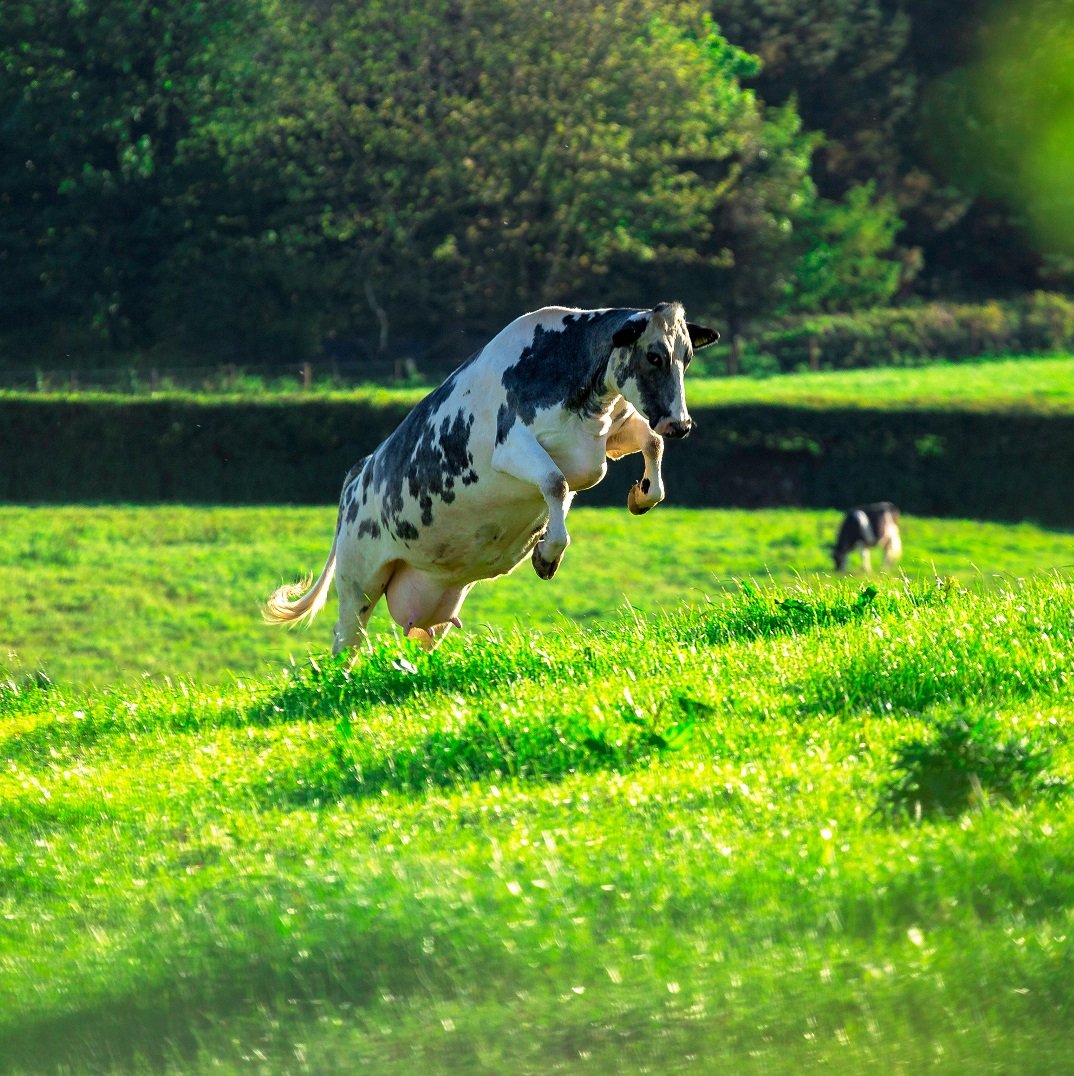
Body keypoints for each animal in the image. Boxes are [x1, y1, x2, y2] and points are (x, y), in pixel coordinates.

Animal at [266, 301, 723, 654]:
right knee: (346, 640)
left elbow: (652, 445)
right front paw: (547, 555)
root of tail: (357, 474)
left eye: (686, 358)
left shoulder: (607, 436)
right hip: (358, 580)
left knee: (421, 637)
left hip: (433, 600)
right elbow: (555, 482)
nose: (681, 423)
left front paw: (642, 494)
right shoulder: (512, 446)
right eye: (654, 356)